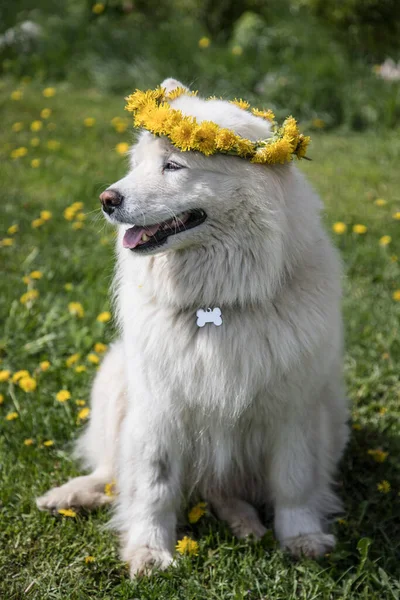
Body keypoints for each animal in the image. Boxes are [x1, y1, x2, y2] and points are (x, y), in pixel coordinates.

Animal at [38, 77, 350, 576]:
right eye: (138, 165)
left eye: (173, 165)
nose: (106, 200)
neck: (215, 301)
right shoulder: (158, 407)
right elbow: (153, 485)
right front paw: (148, 551)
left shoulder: (294, 408)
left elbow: (294, 481)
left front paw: (301, 538)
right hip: (114, 379)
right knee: (112, 472)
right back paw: (70, 495)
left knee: (220, 491)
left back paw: (246, 523)